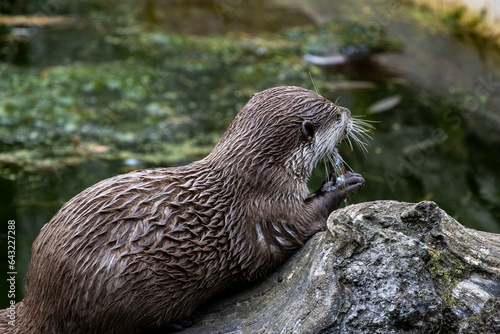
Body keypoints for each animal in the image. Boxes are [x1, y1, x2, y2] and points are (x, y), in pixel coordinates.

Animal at [0, 87, 368, 334]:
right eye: (335, 115)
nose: (348, 110)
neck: (257, 175)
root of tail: (36, 304)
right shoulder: (266, 210)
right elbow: (301, 223)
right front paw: (342, 184)